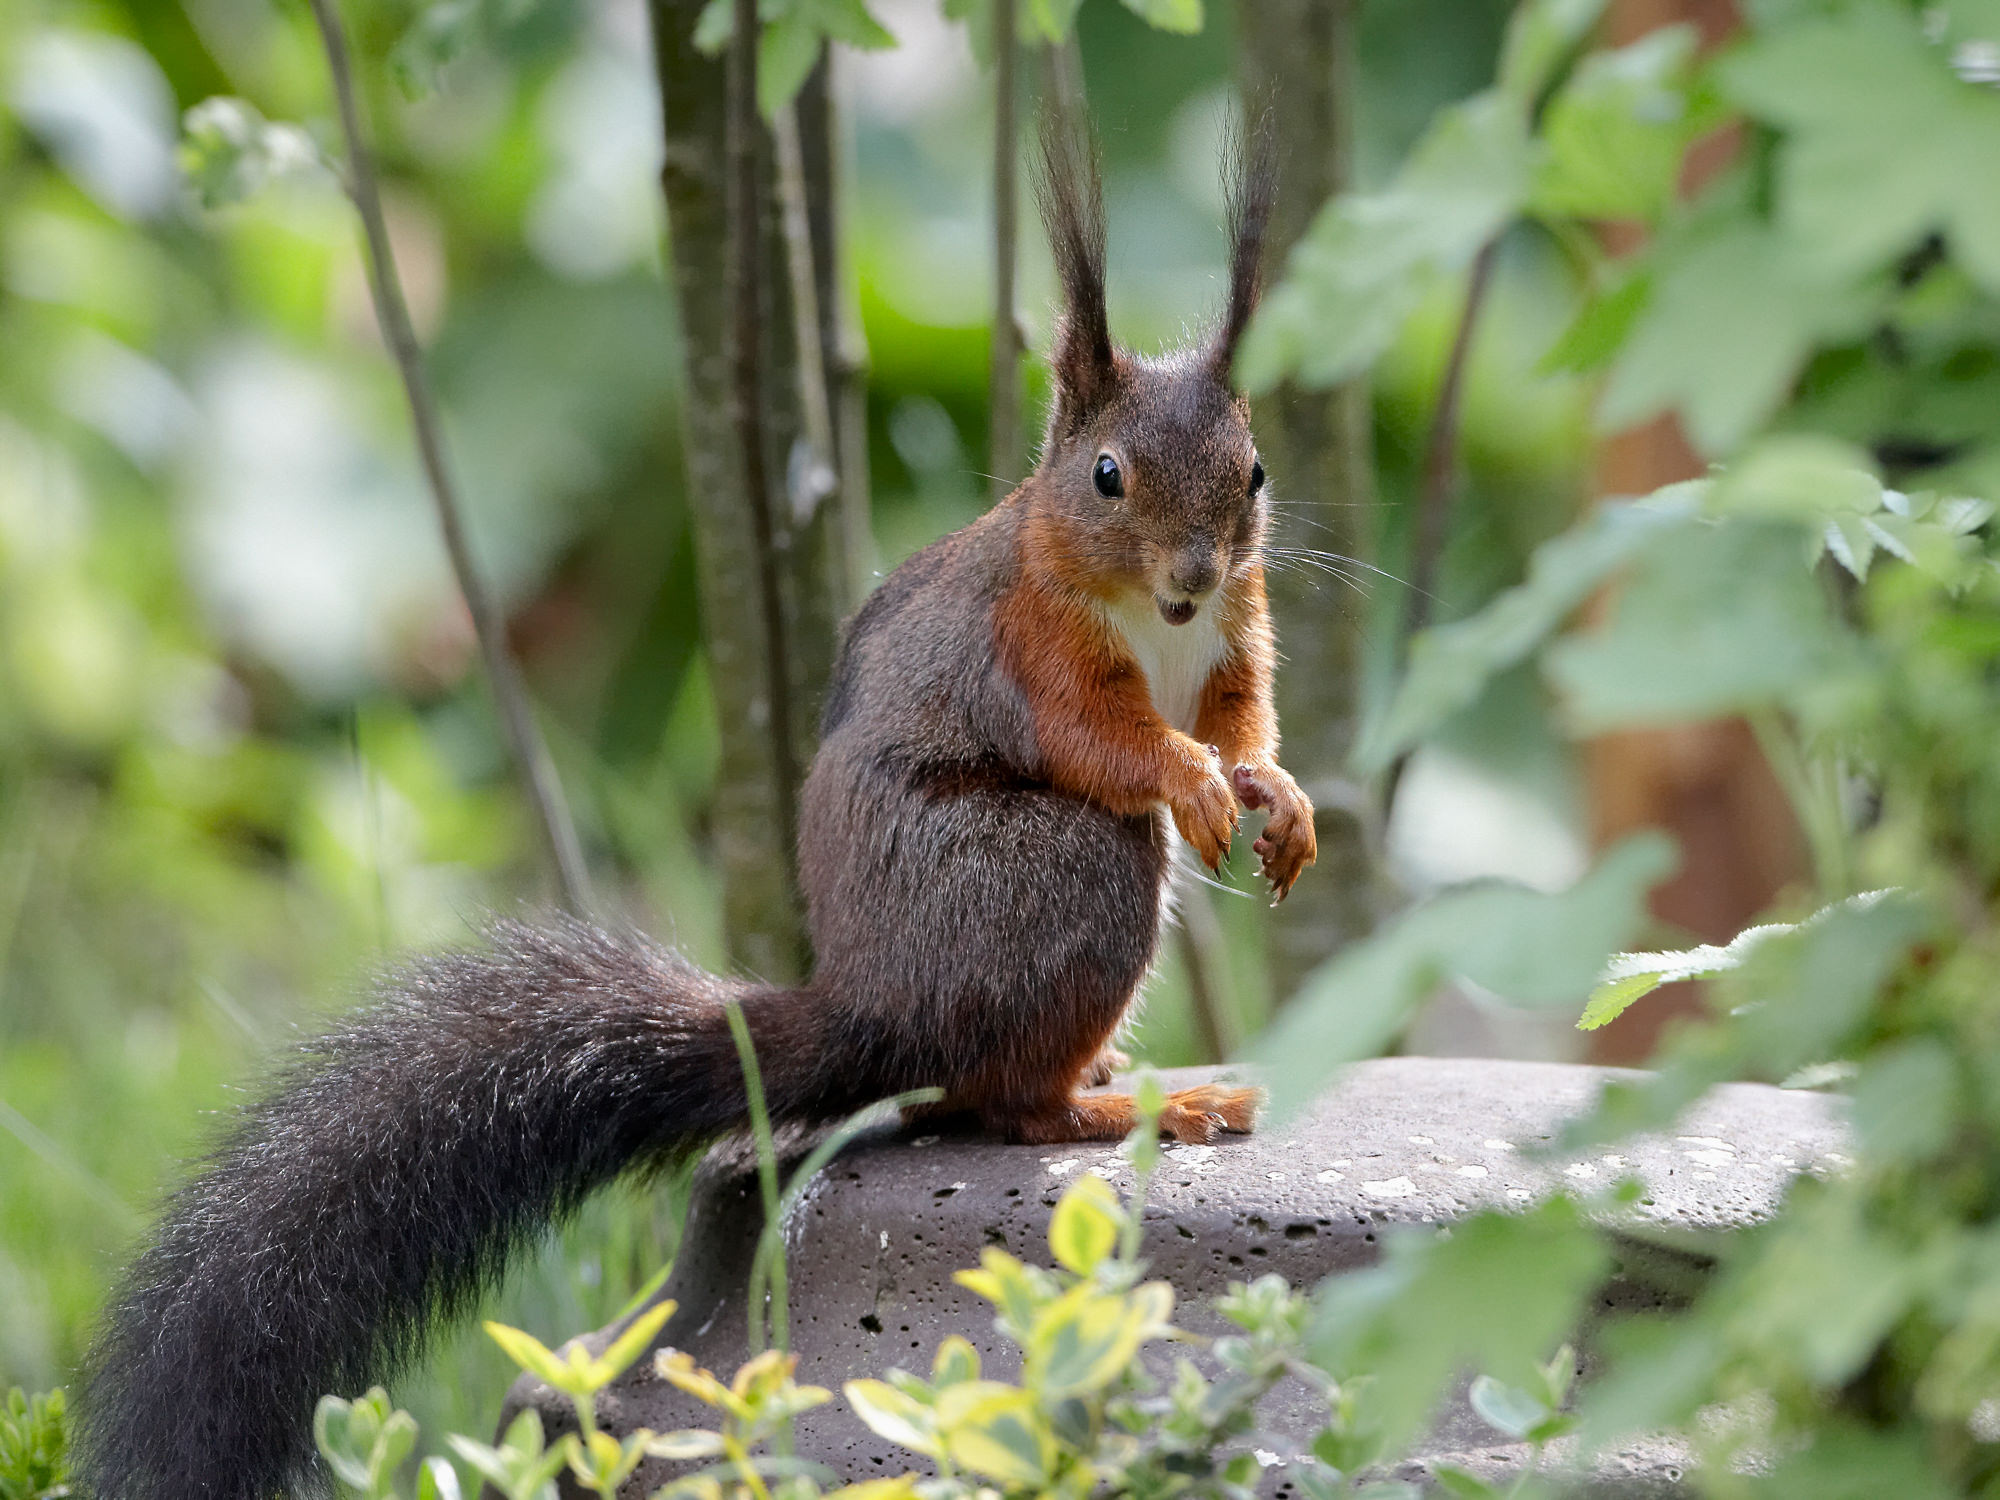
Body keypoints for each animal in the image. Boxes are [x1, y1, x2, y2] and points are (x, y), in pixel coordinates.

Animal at [76, 116, 1314, 1500]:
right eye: (1104, 475)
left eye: (1253, 471)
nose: (1189, 574)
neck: (1149, 614)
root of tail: (874, 1007)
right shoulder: (1033, 644)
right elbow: (1104, 741)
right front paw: (1192, 783)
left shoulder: (1237, 637)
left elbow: (1243, 720)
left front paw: (1277, 798)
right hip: (1056, 877)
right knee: (1001, 1100)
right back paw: (1115, 1103)